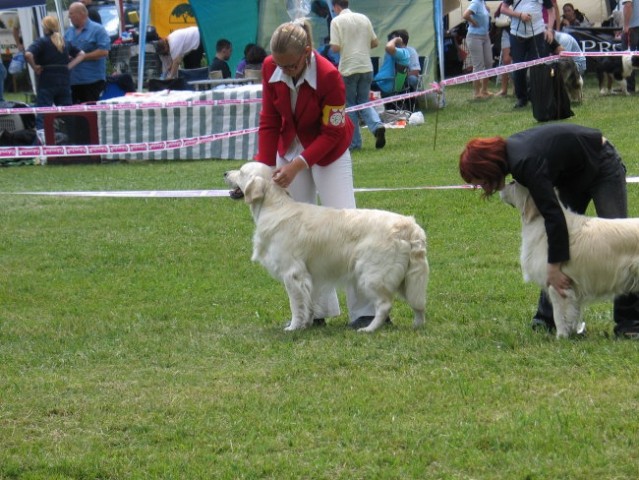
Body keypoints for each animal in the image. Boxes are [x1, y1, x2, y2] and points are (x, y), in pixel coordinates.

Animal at [225, 163, 430, 332]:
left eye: (241, 172)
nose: (225, 173)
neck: (274, 206)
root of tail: (410, 226)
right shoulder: (308, 277)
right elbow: (308, 304)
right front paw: (307, 324)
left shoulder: (292, 273)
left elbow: (296, 305)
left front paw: (293, 327)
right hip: (407, 278)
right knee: (418, 304)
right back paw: (417, 326)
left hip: (372, 275)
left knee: (385, 305)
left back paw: (368, 329)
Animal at [502, 182, 639, 340]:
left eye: (513, 183)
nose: (501, 187)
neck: (544, 224)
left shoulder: (558, 284)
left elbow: (560, 316)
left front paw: (561, 338)